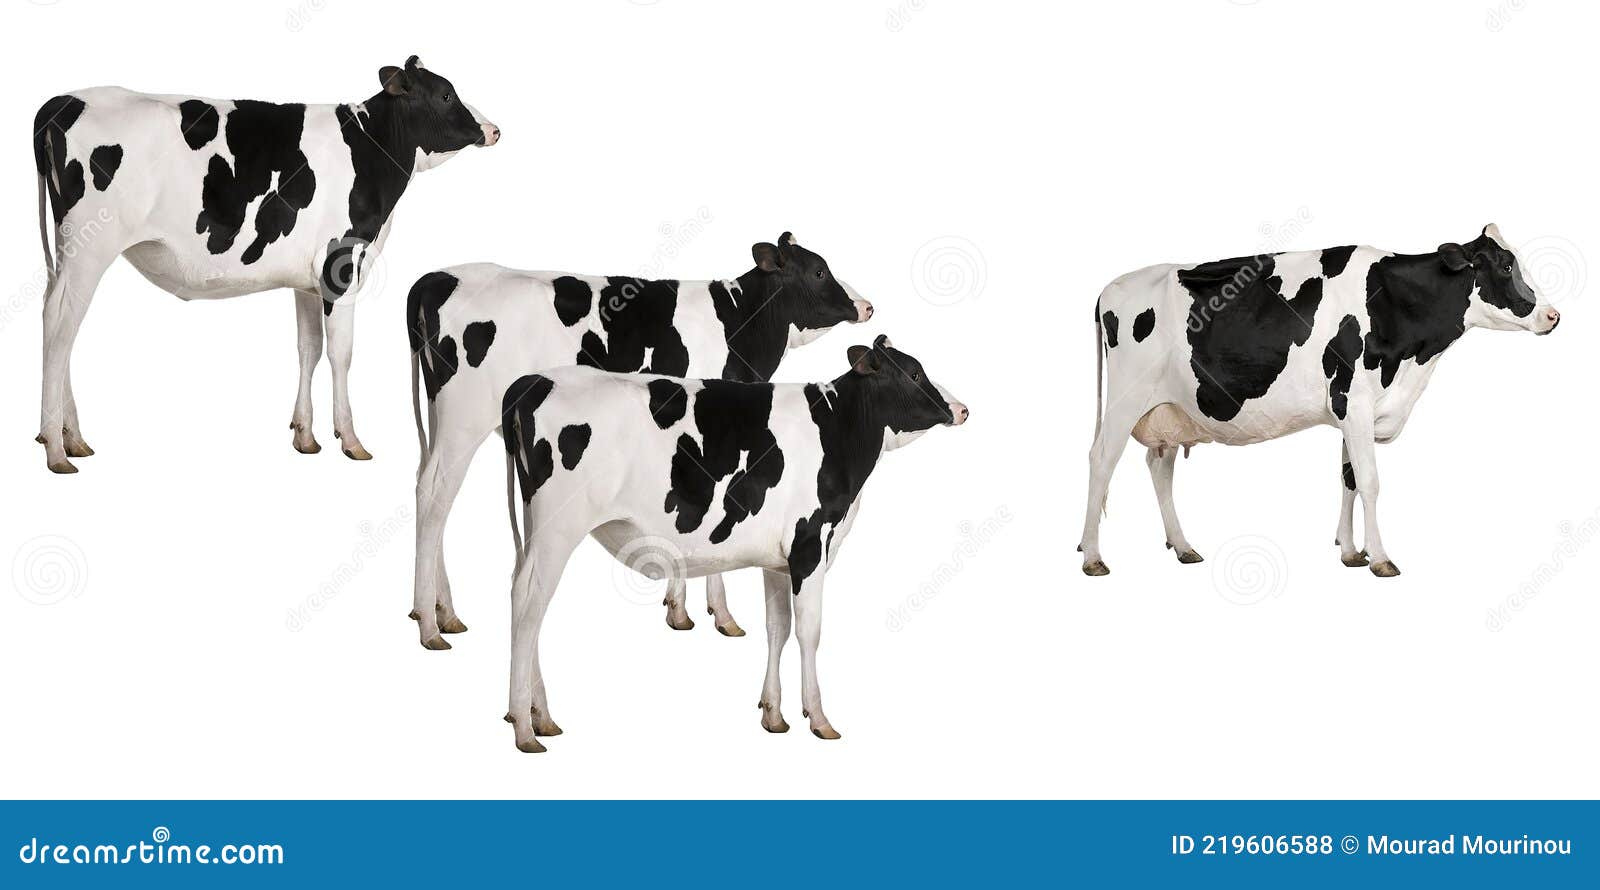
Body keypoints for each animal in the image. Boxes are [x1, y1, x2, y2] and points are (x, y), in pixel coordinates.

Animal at [32, 55, 498, 473]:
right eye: (446, 94)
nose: (494, 129)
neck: (370, 147)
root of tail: (62, 101)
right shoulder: (342, 265)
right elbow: (341, 353)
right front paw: (350, 440)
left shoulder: (308, 280)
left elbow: (308, 349)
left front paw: (305, 435)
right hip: (90, 247)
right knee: (60, 323)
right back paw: (56, 449)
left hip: (66, 249)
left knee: (56, 322)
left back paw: (71, 439)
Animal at [406, 233, 874, 647]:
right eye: (819, 270)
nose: (867, 306)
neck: (739, 323)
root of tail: (436, 278)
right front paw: (719, 615)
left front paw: (679, 608)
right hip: (465, 417)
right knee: (435, 494)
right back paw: (430, 624)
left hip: (440, 414)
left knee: (427, 488)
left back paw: (442, 612)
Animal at [491, 335, 967, 751]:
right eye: (915, 373)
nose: (962, 409)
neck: (838, 429)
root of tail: (532, 381)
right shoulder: (810, 547)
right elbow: (809, 632)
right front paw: (819, 718)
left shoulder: (778, 561)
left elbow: (778, 629)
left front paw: (773, 714)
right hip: (557, 529)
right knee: (530, 605)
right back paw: (525, 728)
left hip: (535, 527)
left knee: (520, 597)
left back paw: (538, 716)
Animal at [1080, 224, 1560, 577]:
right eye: (1505, 265)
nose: (1552, 315)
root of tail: (1110, 287)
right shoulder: (1355, 401)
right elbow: (1370, 481)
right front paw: (1381, 558)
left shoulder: (1353, 412)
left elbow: (1348, 479)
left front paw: (1350, 551)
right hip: (1124, 401)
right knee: (1101, 459)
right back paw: (1093, 555)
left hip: (1168, 410)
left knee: (1159, 468)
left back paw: (1182, 547)